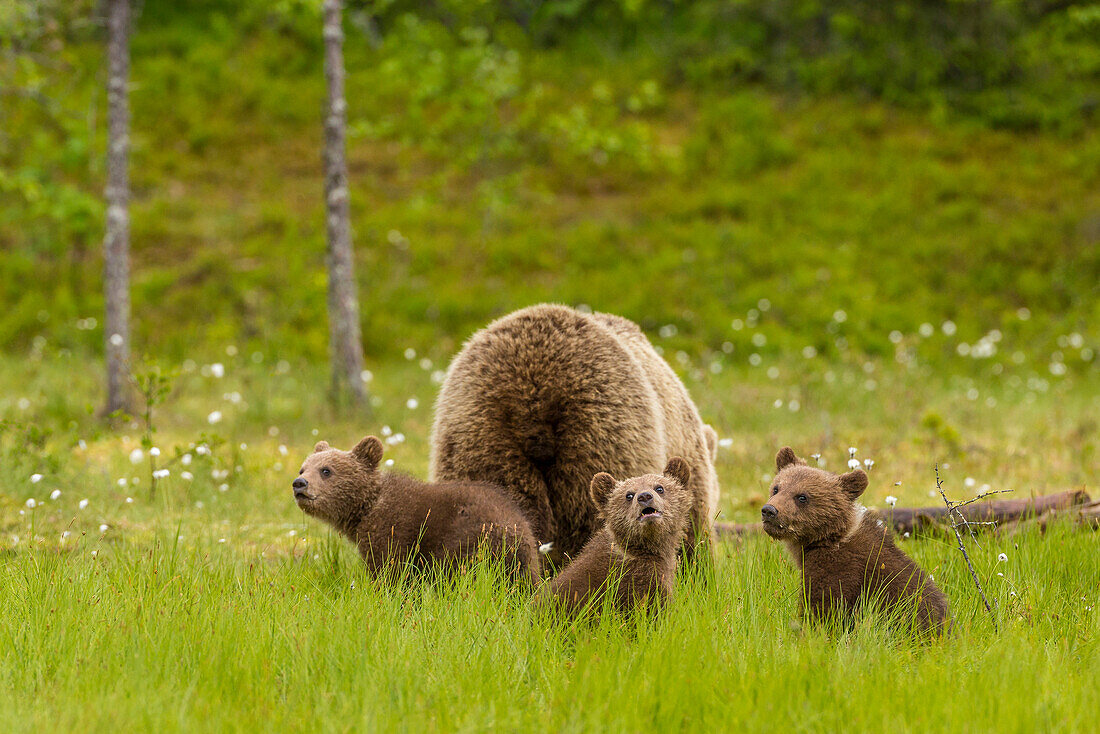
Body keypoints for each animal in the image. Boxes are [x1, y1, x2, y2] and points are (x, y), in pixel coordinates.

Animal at [294, 435, 539, 585]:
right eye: (303, 468)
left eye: (326, 470)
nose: (299, 483)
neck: (366, 508)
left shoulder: (393, 530)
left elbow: (392, 573)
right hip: (524, 563)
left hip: (469, 541)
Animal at [761, 444, 950, 633]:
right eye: (776, 488)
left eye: (802, 496)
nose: (769, 510)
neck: (830, 539)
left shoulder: (840, 570)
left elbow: (823, 608)